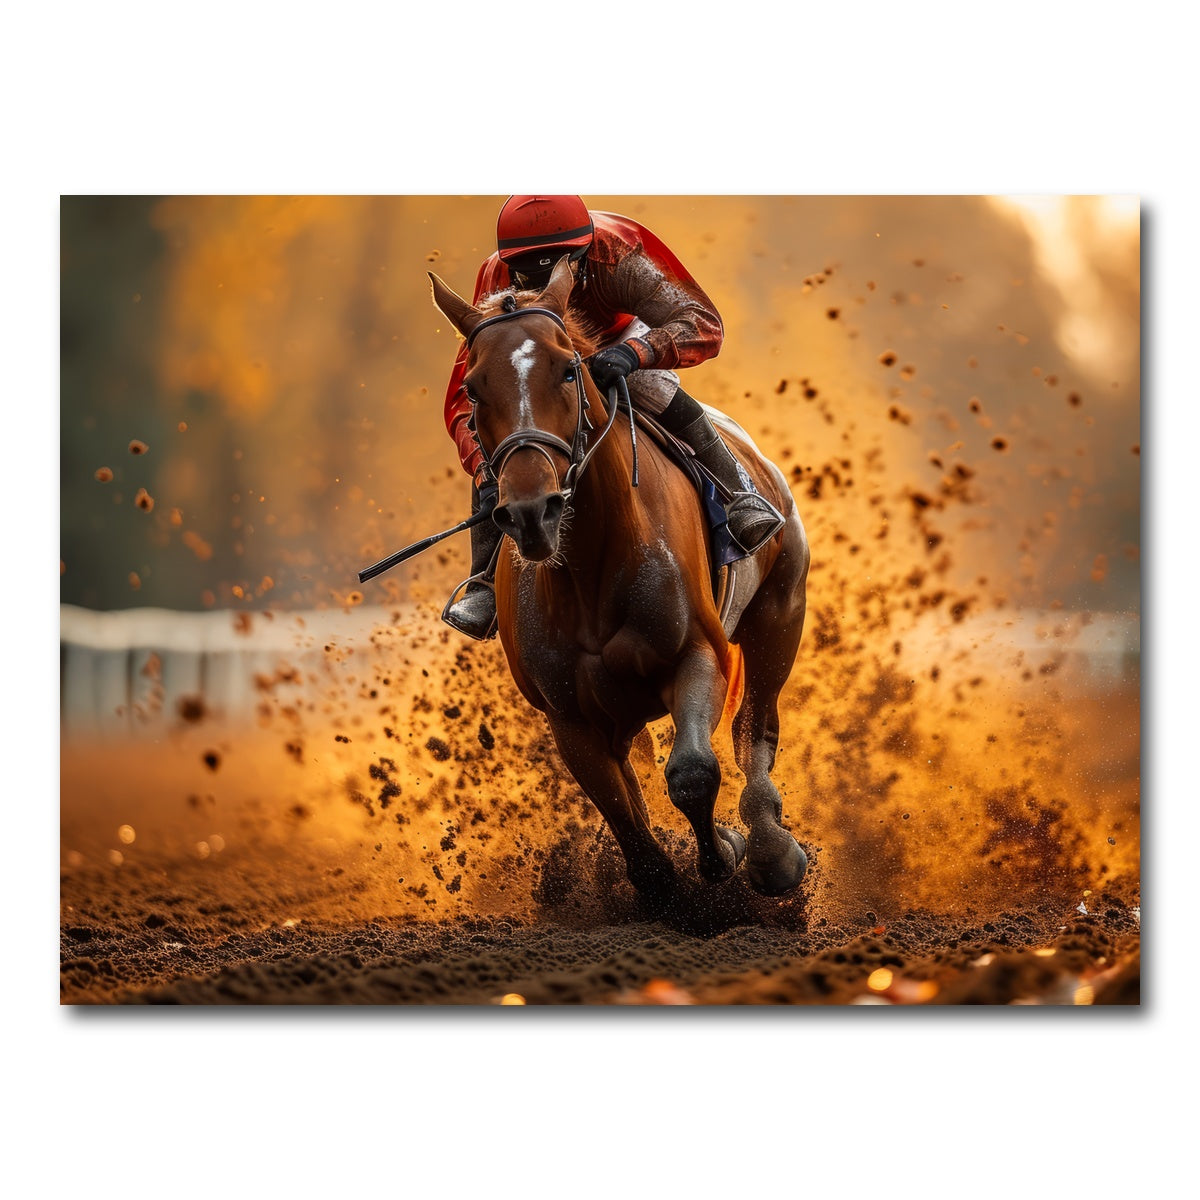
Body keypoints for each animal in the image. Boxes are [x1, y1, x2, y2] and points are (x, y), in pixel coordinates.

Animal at [429, 257, 811, 902]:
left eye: (568, 370)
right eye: (474, 388)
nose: (531, 512)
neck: (588, 571)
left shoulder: (698, 653)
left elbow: (692, 772)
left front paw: (724, 854)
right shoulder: (569, 717)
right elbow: (629, 825)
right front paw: (676, 884)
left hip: (778, 613)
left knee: (753, 726)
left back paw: (769, 848)